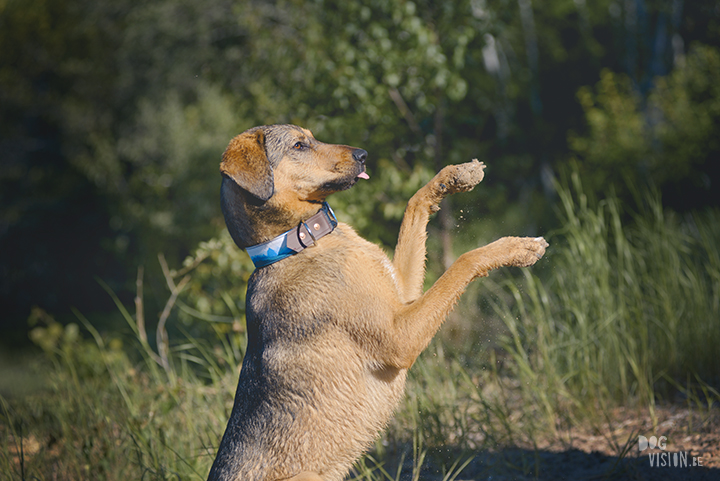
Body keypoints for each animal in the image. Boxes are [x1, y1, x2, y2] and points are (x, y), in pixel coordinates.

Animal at [208, 124, 552, 480]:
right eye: (299, 145)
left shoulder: (402, 294)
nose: (363, 155)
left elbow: (413, 205)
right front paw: (518, 247)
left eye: (312, 136)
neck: (297, 244)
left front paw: (455, 176)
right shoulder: (401, 336)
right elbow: (464, 260)